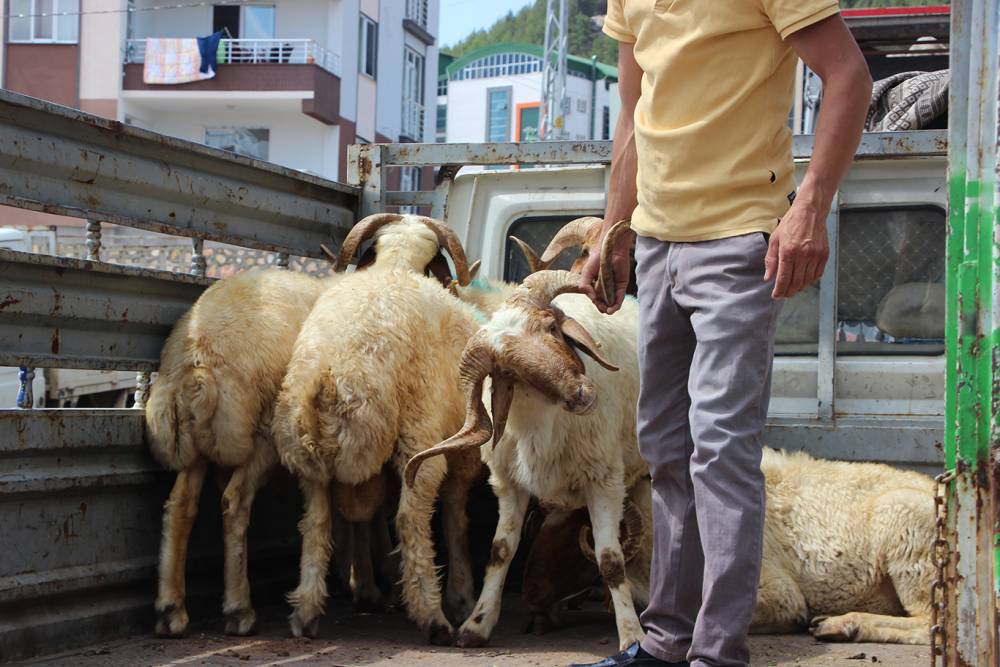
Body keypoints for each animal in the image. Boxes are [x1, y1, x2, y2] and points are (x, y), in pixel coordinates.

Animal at [520, 448, 932, 648]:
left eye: (578, 532)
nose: (531, 592)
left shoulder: (777, 591)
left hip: (908, 538)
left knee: (928, 624)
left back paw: (842, 624)